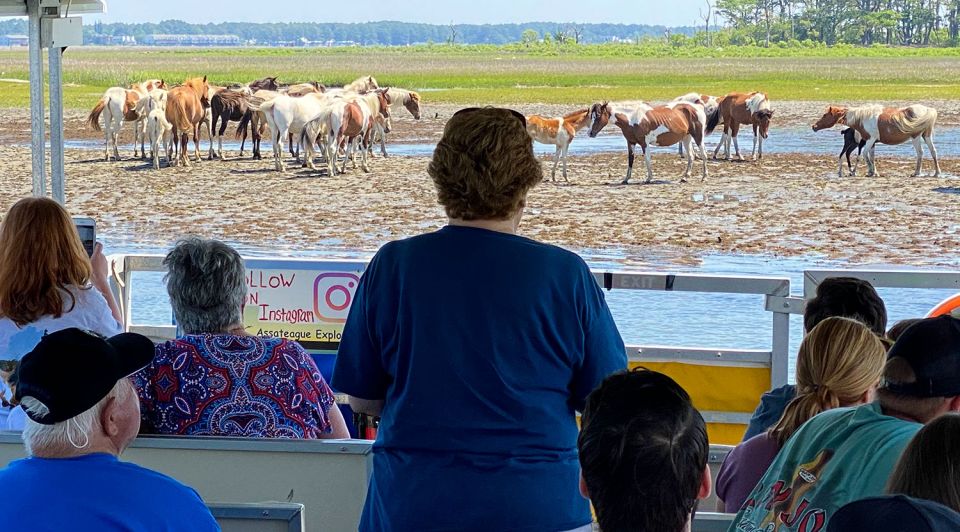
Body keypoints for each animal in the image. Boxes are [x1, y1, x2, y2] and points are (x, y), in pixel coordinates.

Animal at [580, 101, 708, 185]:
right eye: (591, 116)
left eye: (598, 115)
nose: (590, 133)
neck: (632, 118)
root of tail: (697, 107)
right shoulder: (631, 142)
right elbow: (630, 160)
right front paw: (626, 179)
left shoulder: (644, 143)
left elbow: (647, 159)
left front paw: (649, 178)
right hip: (686, 137)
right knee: (691, 156)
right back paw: (685, 178)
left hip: (698, 137)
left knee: (703, 155)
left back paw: (704, 177)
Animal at [808, 104, 936, 177]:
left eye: (825, 115)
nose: (814, 126)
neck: (861, 118)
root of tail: (927, 110)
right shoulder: (872, 142)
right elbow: (872, 156)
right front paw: (874, 172)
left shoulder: (870, 140)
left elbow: (865, 155)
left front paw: (870, 172)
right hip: (926, 136)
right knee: (933, 151)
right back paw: (936, 173)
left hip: (916, 137)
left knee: (920, 153)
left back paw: (917, 173)